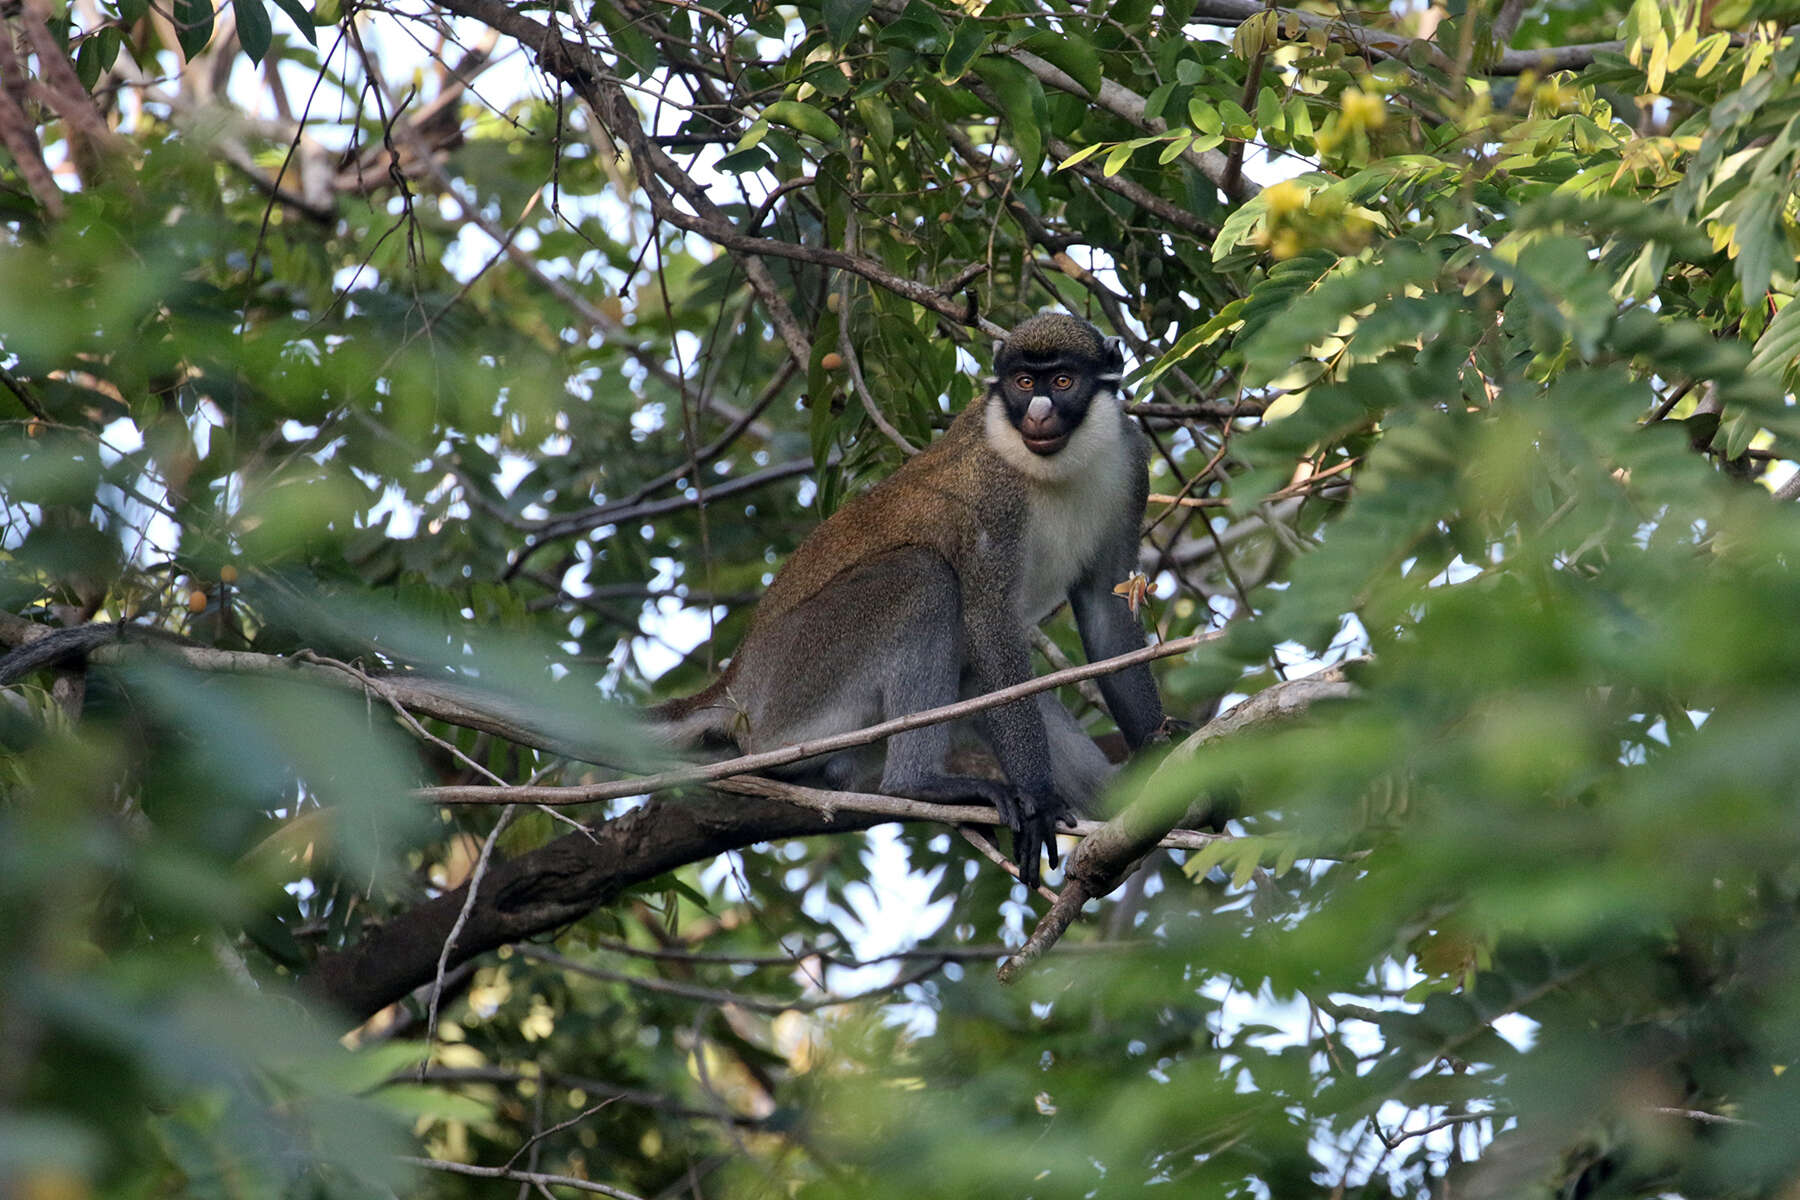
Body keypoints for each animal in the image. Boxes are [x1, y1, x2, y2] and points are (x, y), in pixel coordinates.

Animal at [658, 313, 1166, 892]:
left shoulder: (1131, 466)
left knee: (973, 678)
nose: (1037, 413)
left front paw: (1162, 757)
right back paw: (916, 785)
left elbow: (1107, 613)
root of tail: (739, 681)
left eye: (1062, 381)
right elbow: (990, 619)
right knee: (922, 577)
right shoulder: (993, 497)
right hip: (800, 679)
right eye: (1023, 383)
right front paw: (1037, 801)